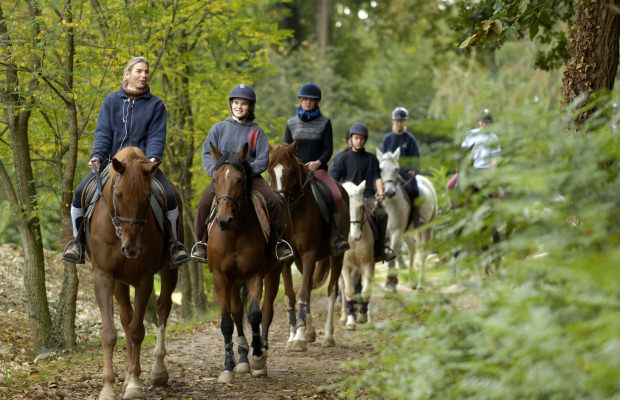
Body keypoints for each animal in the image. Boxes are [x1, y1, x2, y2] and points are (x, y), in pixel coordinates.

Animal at [84, 148, 179, 400]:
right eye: (118, 195)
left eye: (147, 197)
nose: (131, 249)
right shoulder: (104, 277)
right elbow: (110, 332)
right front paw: (108, 388)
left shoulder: (145, 279)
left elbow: (138, 331)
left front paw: (135, 385)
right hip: (120, 283)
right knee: (126, 318)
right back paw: (126, 375)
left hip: (170, 271)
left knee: (163, 307)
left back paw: (158, 371)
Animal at [205, 142, 282, 382]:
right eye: (215, 179)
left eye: (239, 180)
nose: (223, 220)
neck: (235, 233)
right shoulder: (221, 277)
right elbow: (227, 321)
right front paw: (229, 366)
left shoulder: (254, 274)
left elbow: (255, 314)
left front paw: (257, 357)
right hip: (232, 281)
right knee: (237, 313)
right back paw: (241, 359)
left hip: (274, 273)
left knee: (266, 311)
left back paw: (259, 352)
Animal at [266, 141, 346, 350]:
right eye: (270, 171)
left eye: (290, 171)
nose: (280, 201)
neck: (293, 211)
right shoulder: (286, 258)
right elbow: (291, 296)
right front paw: (293, 336)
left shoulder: (309, 254)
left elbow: (302, 293)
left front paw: (299, 339)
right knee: (309, 287)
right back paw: (309, 332)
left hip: (337, 256)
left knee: (332, 291)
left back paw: (328, 337)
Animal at [336, 183, 376, 330]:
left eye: (361, 207)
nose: (356, 236)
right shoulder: (345, 267)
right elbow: (349, 292)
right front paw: (350, 321)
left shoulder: (367, 264)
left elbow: (366, 290)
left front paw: (363, 316)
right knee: (342, 288)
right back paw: (343, 316)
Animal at [376, 148, 438, 290]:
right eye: (380, 169)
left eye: (396, 169)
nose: (389, 192)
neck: (391, 205)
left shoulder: (395, 232)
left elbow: (391, 256)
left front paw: (390, 285)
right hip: (406, 232)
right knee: (412, 248)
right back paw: (411, 280)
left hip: (427, 227)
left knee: (423, 253)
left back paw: (420, 284)